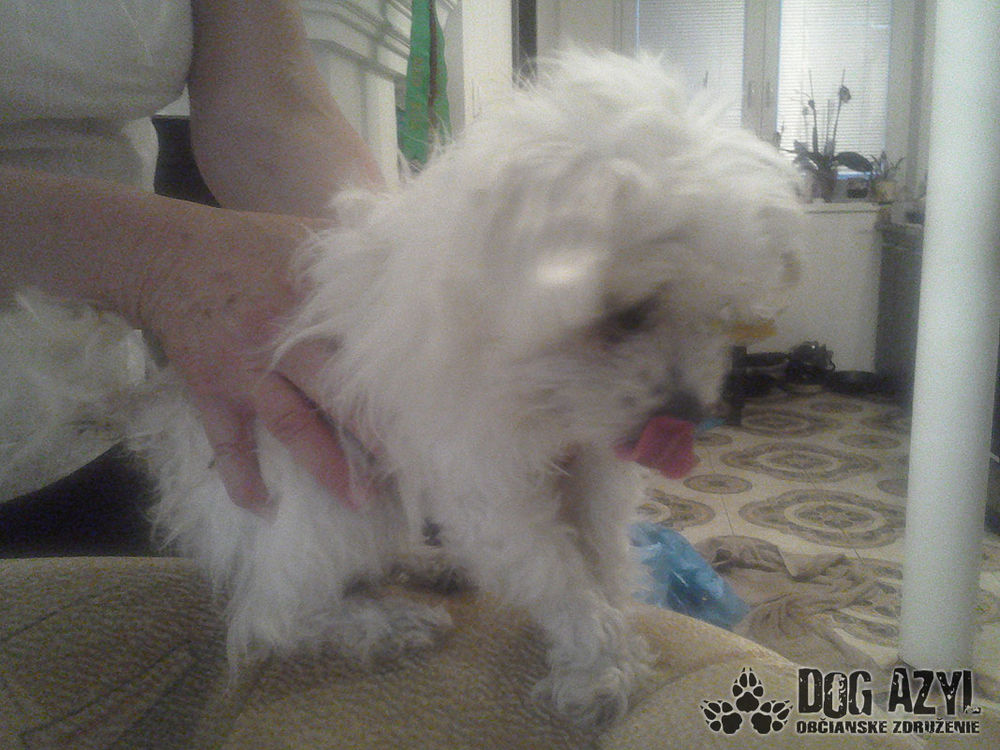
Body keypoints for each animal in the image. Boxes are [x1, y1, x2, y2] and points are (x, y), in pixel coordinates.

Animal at [0, 51, 801, 727]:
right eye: (628, 313)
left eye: (715, 314)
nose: (690, 416)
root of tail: (161, 399)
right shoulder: (492, 489)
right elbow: (561, 579)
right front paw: (600, 668)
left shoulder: (591, 467)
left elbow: (602, 562)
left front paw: (612, 646)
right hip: (331, 490)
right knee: (271, 616)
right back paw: (380, 623)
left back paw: (426, 563)